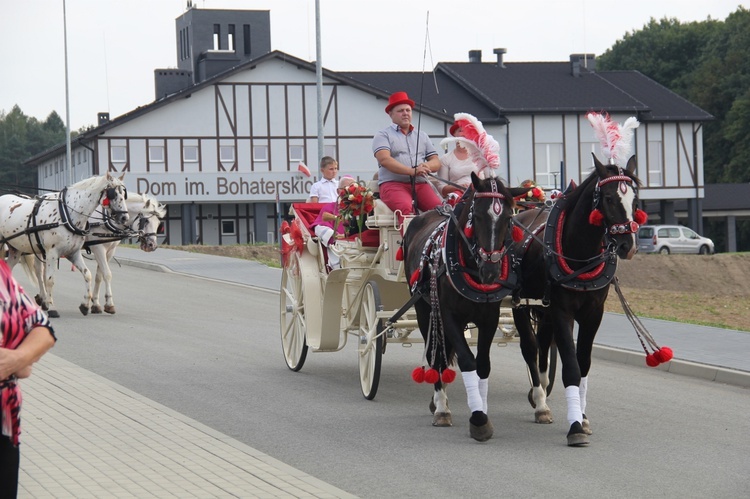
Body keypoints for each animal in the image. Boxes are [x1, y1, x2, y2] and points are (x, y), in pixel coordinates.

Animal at [0, 174, 129, 318]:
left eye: (124, 194)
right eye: (113, 194)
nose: (125, 218)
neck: (67, 214)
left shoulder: (73, 253)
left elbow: (88, 274)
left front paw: (85, 305)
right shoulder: (52, 253)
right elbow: (49, 279)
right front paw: (51, 307)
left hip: (16, 249)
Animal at [406, 174, 528, 444]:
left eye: (508, 218)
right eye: (478, 215)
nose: (491, 270)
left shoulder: (489, 318)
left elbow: (482, 364)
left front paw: (481, 407)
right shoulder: (448, 316)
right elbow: (466, 361)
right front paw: (478, 419)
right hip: (423, 309)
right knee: (436, 355)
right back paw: (440, 406)